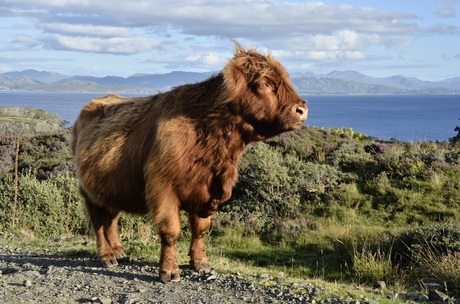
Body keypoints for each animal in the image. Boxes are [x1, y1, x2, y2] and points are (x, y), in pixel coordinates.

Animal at [72, 42, 308, 282]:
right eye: (264, 83)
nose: (302, 109)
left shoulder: (205, 190)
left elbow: (200, 228)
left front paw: (199, 262)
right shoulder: (163, 188)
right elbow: (170, 230)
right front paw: (169, 271)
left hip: (112, 188)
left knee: (111, 219)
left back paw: (120, 250)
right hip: (89, 192)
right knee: (98, 223)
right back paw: (108, 256)